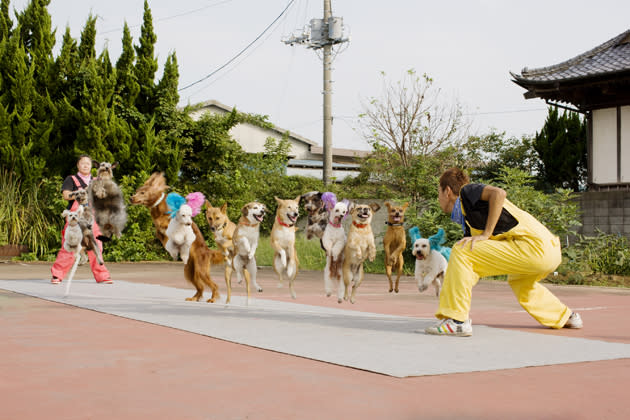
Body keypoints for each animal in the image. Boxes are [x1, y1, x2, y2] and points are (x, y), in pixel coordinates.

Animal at [131, 172, 225, 304]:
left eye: (143, 193)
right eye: (137, 191)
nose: (131, 198)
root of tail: (207, 251)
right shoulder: (159, 230)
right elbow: (161, 234)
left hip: (201, 270)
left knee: (214, 285)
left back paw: (212, 298)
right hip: (190, 271)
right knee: (200, 287)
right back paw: (194, 298)